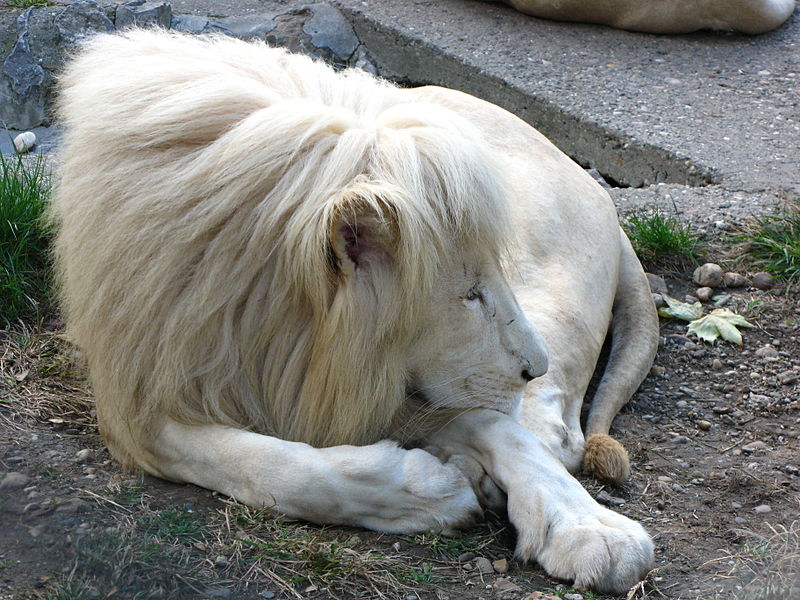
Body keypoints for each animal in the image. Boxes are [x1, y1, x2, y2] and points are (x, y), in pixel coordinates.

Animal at [53, 30, 660, 592]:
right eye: (470, 293)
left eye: (493, 279)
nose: (535, 366)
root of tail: (597, 190)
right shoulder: (139, 392)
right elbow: (270, 466)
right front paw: (430, 489)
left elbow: (505, 432)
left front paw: (589, 530)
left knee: (557, 433)